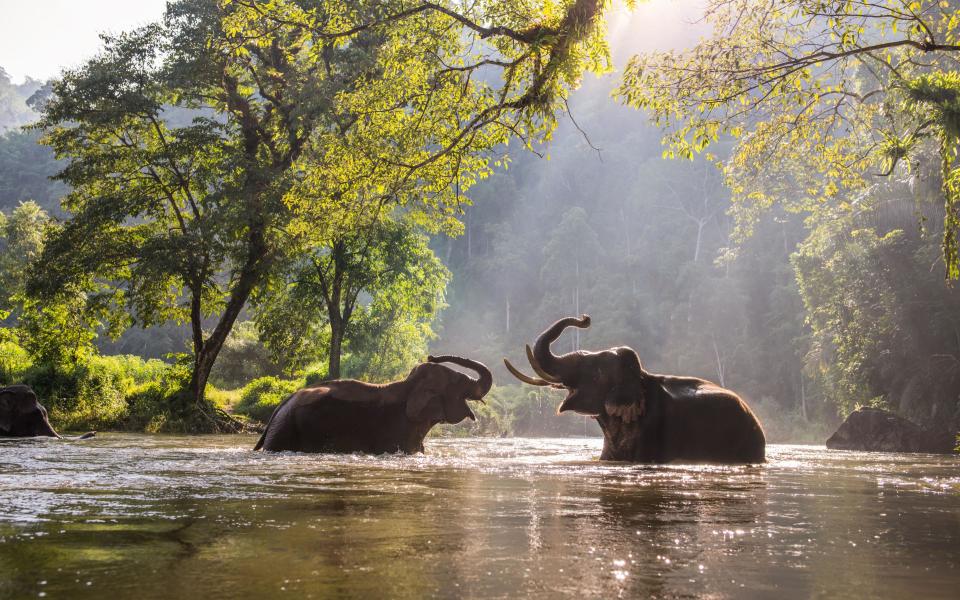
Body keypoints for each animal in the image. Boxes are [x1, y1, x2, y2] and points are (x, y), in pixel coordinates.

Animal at [255, 354, 496, 452]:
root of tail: (279, 407)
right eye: (458, 381)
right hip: (285, 431)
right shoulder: (397, 430)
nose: (431, 356)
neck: (409, 385)